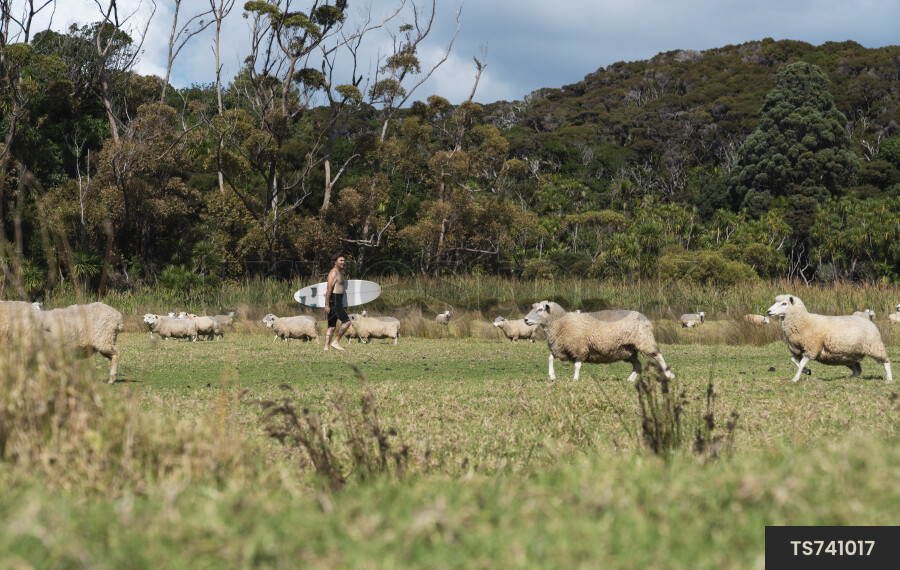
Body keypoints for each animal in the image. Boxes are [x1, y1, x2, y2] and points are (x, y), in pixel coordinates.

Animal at [524, 301, 674, 382]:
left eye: (540, 309)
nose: (525, 320)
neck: (561, 322)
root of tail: (644, 317)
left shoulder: (579, 347)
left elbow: (577, 365)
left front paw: (575, 379)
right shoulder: (561, 348)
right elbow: (550, 358)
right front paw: (552, 376)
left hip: (644, 341)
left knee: (658, 356)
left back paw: (669, 374)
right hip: (627, 349)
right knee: (637, 364)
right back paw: (630, 379)